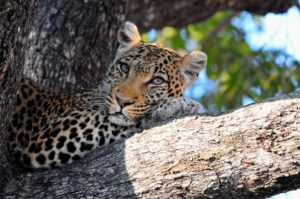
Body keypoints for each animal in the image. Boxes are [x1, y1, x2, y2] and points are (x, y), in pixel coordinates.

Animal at [8, 21, 207, 169]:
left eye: (157, 81)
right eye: (124, 68)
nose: (122, 101)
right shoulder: (50, 136)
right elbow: (116, 121)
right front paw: (176, 106)